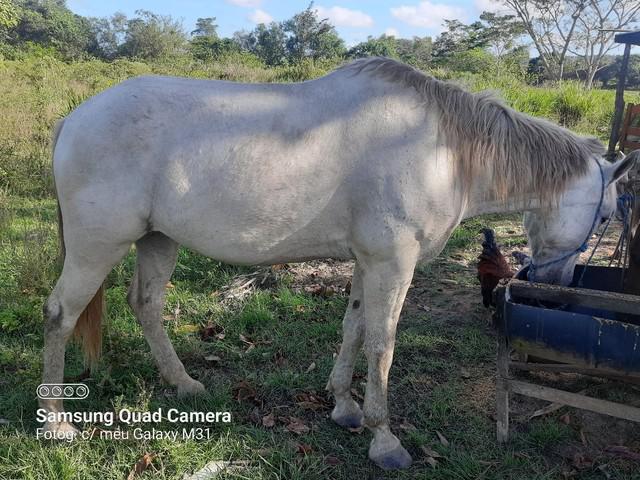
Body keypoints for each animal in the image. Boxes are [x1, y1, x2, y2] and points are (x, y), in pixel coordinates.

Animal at [42, 57, 636, 468]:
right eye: (607, 213)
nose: (555, 283)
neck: (442, 151)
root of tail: (74, 118)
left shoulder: (366, 261)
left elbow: (353, 329)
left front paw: (344, 407)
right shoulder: (394, 263)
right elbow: (382, 344)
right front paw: (384, 438)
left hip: (158, 240)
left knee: (145, 305)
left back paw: (184, 384)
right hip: (99, 246)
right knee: (60, 315)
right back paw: (57, 426)